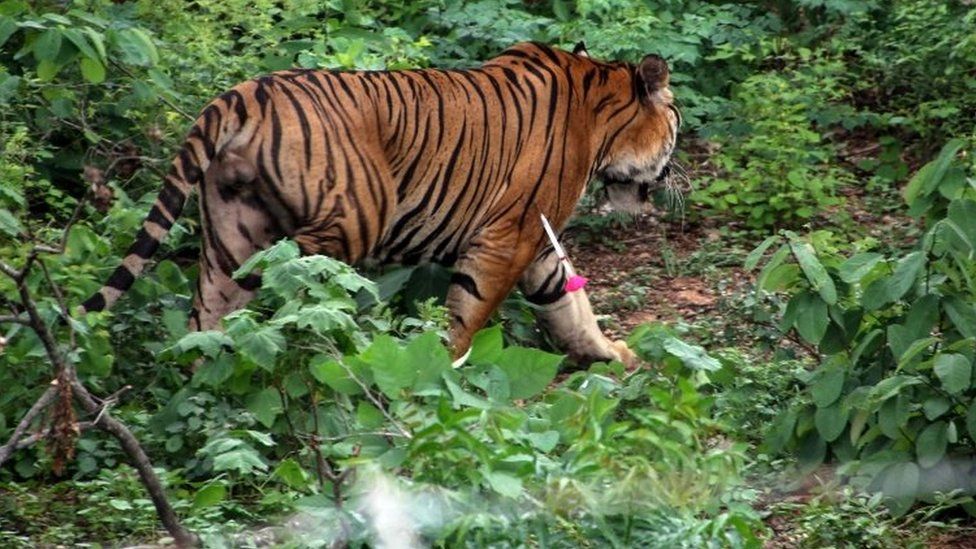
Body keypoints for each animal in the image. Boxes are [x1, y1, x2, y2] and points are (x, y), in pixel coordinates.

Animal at [82, 41, 680, 368]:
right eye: (676, 121)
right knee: (293, 281)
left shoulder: (535, 243)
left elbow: (568, 304)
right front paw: (443, 369)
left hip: (231, 230)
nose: (674, 174)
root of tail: (245, 92)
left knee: (209, 316)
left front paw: (616, 356)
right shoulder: (509, 237)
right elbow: (469, 312)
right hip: (352, 219)